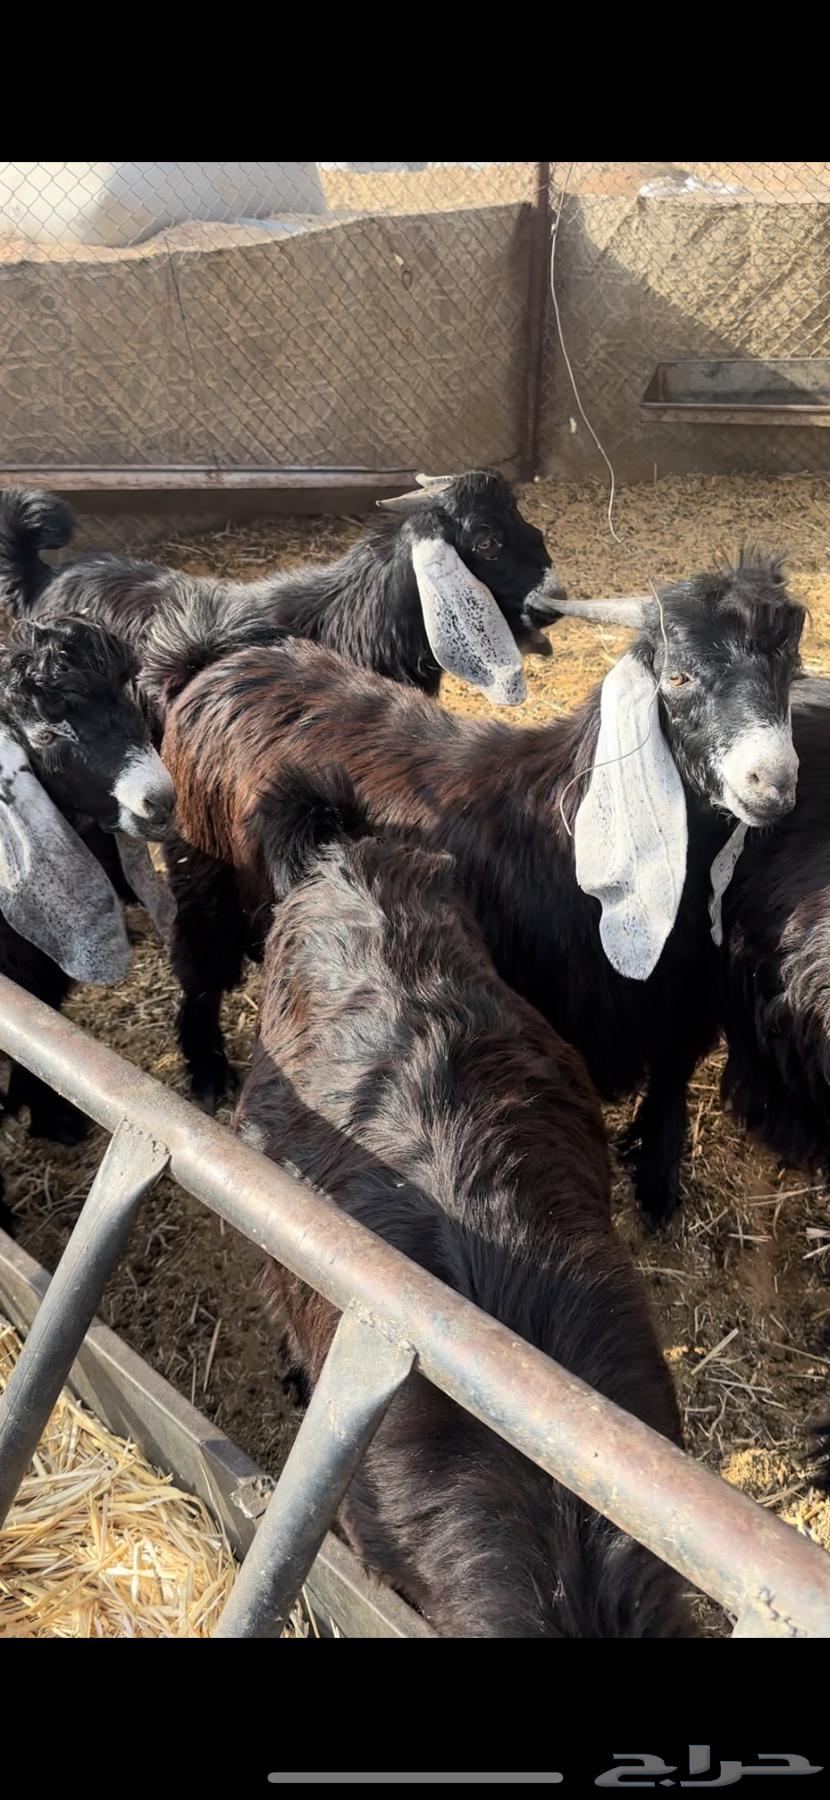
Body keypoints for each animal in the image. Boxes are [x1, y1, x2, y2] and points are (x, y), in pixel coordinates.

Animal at [0, 615, 175, 1224]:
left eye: (129, 699)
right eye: (48, 735)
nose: (160, 802)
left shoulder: (39, 982)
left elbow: (44, 1042)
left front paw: (55, 1118)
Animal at [157, 552, 804, 1227]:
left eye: (791, 666)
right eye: (678, 677)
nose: (773, 782)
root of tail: (217, 663)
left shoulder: (688, 1000)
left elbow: (671, 1081)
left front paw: (656, 1178)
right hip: (201, 872)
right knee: (199, 972)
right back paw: (206, 1072)